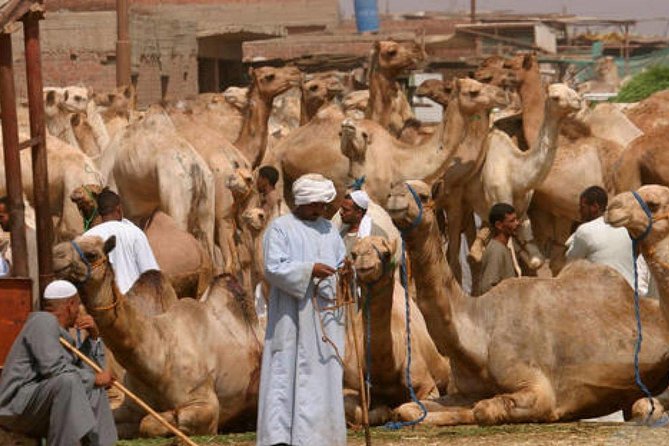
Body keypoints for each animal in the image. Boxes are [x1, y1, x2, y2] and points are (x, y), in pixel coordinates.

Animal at [52, 235, 264, 438]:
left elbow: (148, 423)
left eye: (91, 254)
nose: (56, 253)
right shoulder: (131, 405)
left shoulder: (205, 406)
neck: (159, 355)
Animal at [344, 233, 448, 426]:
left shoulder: (427, 385)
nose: (364, 263)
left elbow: (408, 408)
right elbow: (360, 412)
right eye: (353, 254)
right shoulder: (349, 385)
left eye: (386, 253)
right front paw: (384, 411)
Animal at [384, 180, 668, 426]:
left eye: (423, 196)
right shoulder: (465, 389)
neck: (479, 332)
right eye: (396, 187)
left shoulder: (537, 388)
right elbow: (408, 409)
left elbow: (484, 409)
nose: (394, 197)